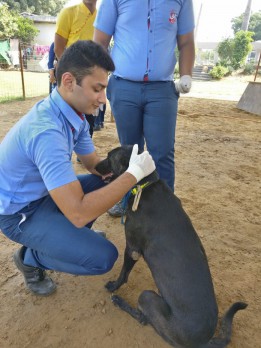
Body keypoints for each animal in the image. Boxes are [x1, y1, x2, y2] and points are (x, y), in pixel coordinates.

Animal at [95, 145, 246, 346]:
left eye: (109, 157)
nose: (94, 165)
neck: (145, 186)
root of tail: (204, 341)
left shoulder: (132, 248)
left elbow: (123, 274)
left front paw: (113, 286)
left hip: (147, 296)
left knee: (142, 318)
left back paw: (118, 300)